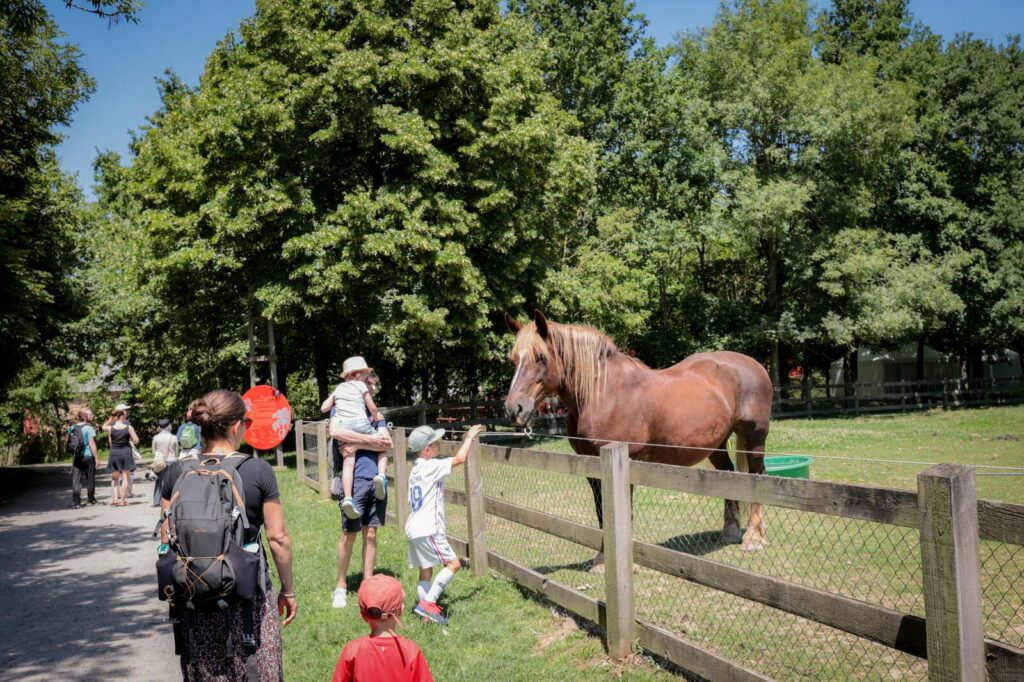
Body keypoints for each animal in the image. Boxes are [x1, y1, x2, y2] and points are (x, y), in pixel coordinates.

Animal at [499, 311, 770, 557]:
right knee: (728, 472)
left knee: (756, 476)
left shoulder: (621, 462)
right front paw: (601, 559)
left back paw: (753, 537)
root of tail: (755, 365)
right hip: (716, 444)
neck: (603, 393)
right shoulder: (592, 467)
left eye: (540, 358)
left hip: (754, 439)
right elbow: (601, 512)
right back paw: (731, 531)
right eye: (514, 359)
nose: (514, 408)